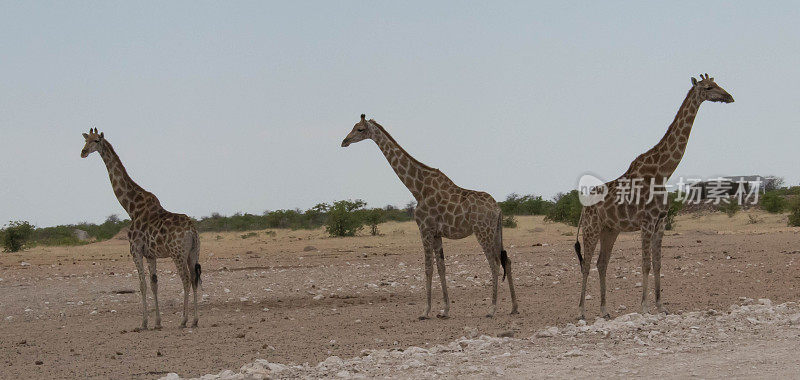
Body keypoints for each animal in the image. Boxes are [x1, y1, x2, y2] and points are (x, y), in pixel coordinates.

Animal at [80, 128, 203, 330]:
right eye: (85, 140)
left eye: (96, 140)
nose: (83, 152)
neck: (131, 208)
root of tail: (192, 231)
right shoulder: (151, 254)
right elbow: (154, 284)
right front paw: (157, 323)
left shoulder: (135, 250)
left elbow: (142, 285)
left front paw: (143, 323)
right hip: (194, 252)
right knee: (194, 279)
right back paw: (194, 320)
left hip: (177, 253)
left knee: (185, 279)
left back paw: (183, 320)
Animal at [340, 114, 520, 320]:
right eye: (353, 126)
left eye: (360, 129)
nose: (344, 141)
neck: (418, 188)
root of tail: (498, 209)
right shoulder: (436, 233)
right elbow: (441, 267)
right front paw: (445, 310)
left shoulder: (424, 229)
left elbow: (428, 268)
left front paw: (425, 311)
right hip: (496, 231)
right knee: (506, 260)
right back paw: (514, 307)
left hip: (483, 231)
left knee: (494, 262)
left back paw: (492, 308)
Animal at [572, 74, 736, 320]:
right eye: (708, 87)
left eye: (717, 84)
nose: (729, 97)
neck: (663, 172)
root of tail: (584, 209)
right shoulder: (647, 222)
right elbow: (646, 264)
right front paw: (645, 308)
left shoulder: (661, 222)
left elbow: (658, 264)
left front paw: (661, 306)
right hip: (591, 229)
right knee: (586, 264)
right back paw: (582, 311)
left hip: (610, 230)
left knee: (602, 263)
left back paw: (604, 310)